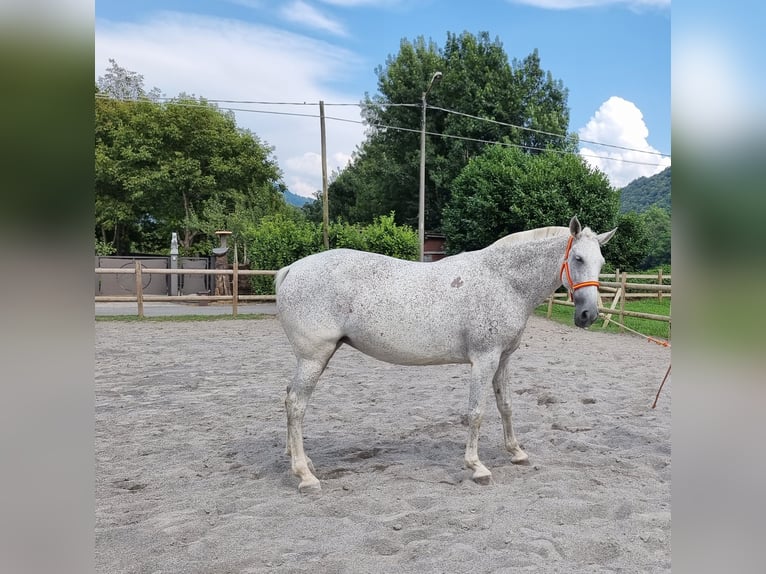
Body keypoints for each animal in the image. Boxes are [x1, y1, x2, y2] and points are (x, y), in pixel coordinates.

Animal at [276, 217, 616, 496]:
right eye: (577, 258)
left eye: (601, 261)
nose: (588, 315)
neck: (504, 282)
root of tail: (290, 270)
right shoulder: (484, 359)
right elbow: (476, 413)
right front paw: (477, 467)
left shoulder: (503, 359)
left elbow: (505, 405)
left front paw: (516, 452)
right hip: (313, 358)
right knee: (296, 404)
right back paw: (305, 476)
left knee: (290, 399)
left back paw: (300, 460)